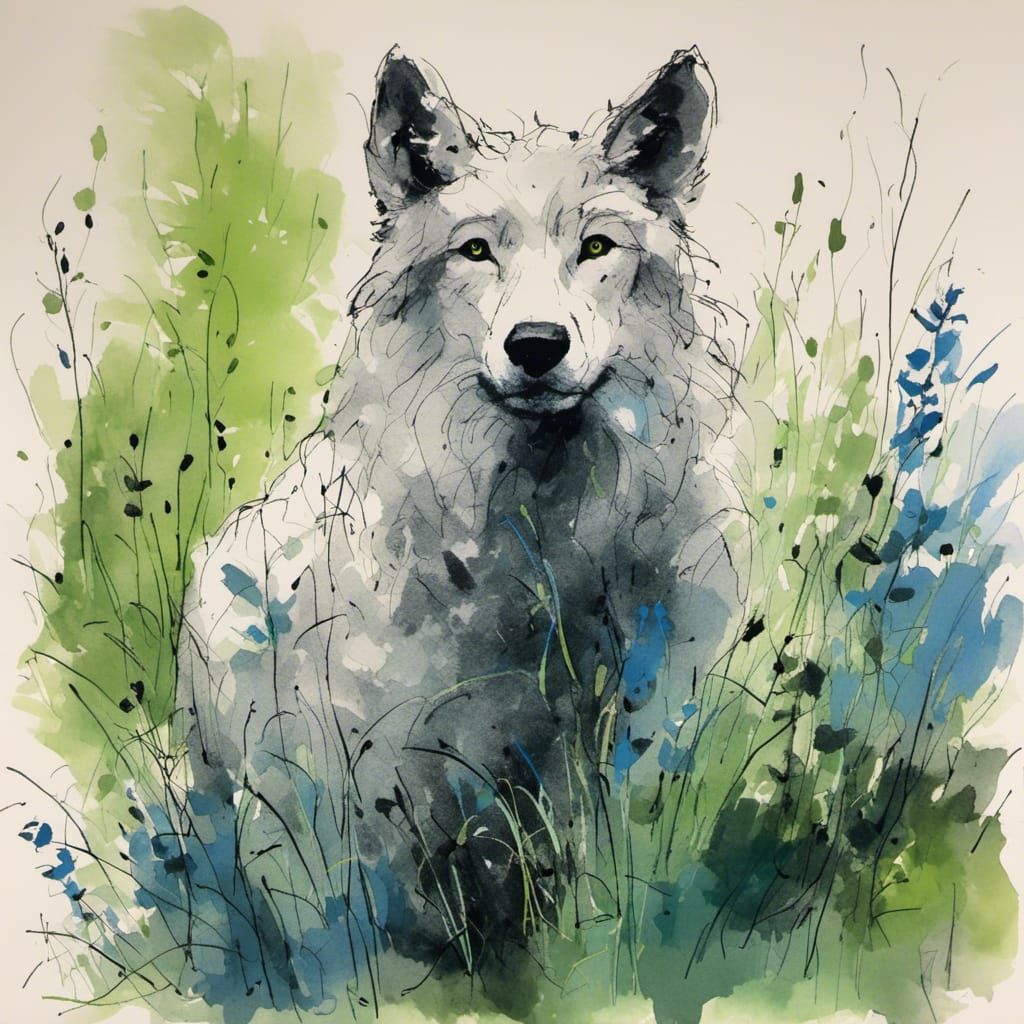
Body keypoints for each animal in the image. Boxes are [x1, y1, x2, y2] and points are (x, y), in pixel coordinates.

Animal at [177, 45, 740, 1007]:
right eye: (476, 251)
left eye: (597, 248)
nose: (537, 345)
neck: (539, 548)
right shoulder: (384, 787)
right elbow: (389, 950)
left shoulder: (616, 754)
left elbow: (599, 904)